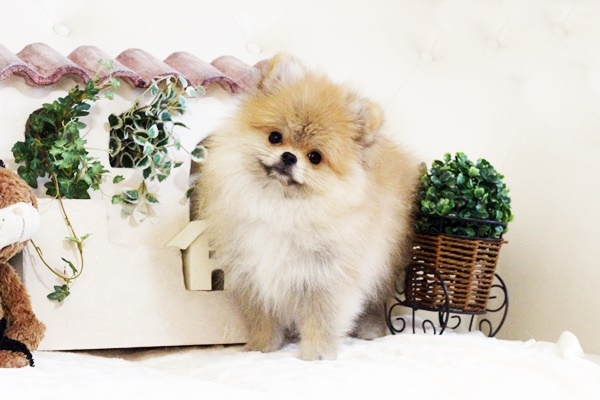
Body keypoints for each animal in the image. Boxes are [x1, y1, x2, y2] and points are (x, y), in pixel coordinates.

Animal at [196, 53, 419, 360]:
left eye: (315, 157)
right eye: (275, 137)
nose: (289, 157)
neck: (281, 207)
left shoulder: (327, 279)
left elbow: (321, 320)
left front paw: (316, 354)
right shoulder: (254, 275)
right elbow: (262, 318)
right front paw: (262, 348)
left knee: (378, 298)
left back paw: (371, 329)